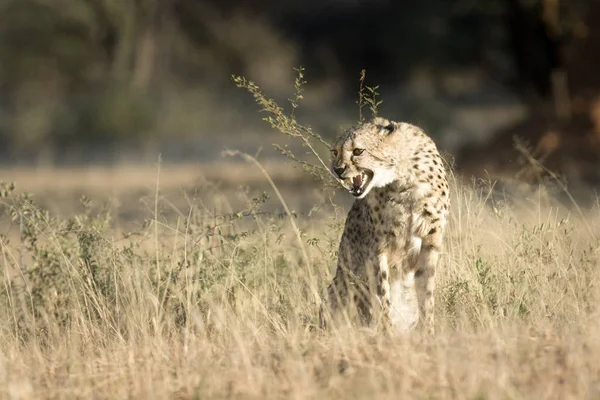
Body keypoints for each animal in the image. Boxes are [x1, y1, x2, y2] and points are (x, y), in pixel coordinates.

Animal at [322, 116, 448, 334]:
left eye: (358, 151)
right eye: (335, 152)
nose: (338, 170)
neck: (403, 178)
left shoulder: (430, 241)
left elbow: (427, 293)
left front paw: (428, 332)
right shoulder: (377, 248)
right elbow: (382, 295)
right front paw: (387, 333)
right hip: (340, 285)